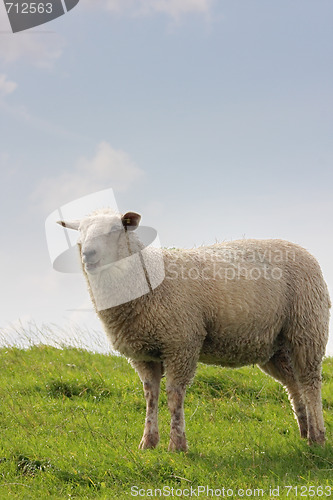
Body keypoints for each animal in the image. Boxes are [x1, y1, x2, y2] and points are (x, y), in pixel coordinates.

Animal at [57, 209, 330, 452]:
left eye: (116, 229)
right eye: (80, 233)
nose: (88, 254)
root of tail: (300, 248)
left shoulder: (181, 343)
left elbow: (174, 395)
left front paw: (177, 445)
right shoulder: (143, 354)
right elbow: (150, 396)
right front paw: (148, 443)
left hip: (307, 328)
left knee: (310, 383)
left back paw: (317, 437)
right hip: (274, 345)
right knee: (293, 384)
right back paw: (304, 430)